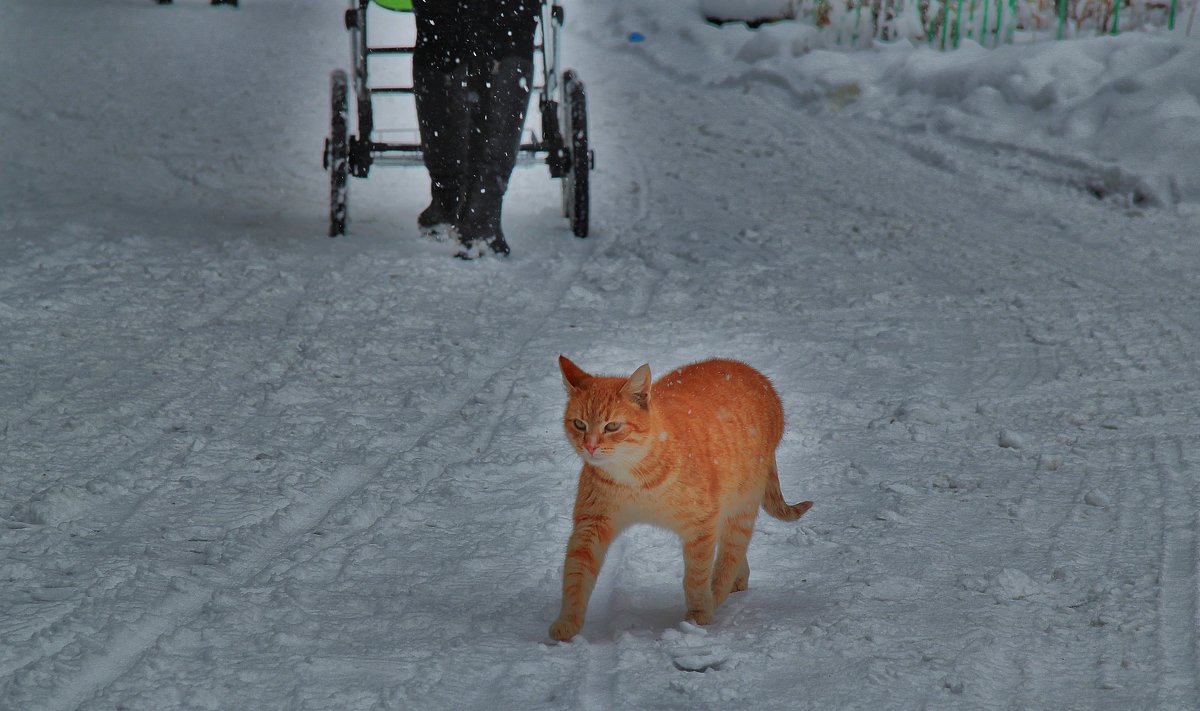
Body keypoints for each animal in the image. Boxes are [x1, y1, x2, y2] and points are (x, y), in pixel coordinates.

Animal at [549, 357, 811, 643]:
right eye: (579, 424)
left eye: (612, 426)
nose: (590, 446)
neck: (633, 477)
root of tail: (755, 374)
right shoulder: (591, 524)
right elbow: (576, 576)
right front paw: (568, 622)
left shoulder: (701, 523)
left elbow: (696, 577)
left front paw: (698, 615)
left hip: (741, 505)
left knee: (730, 555)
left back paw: (717, 594)